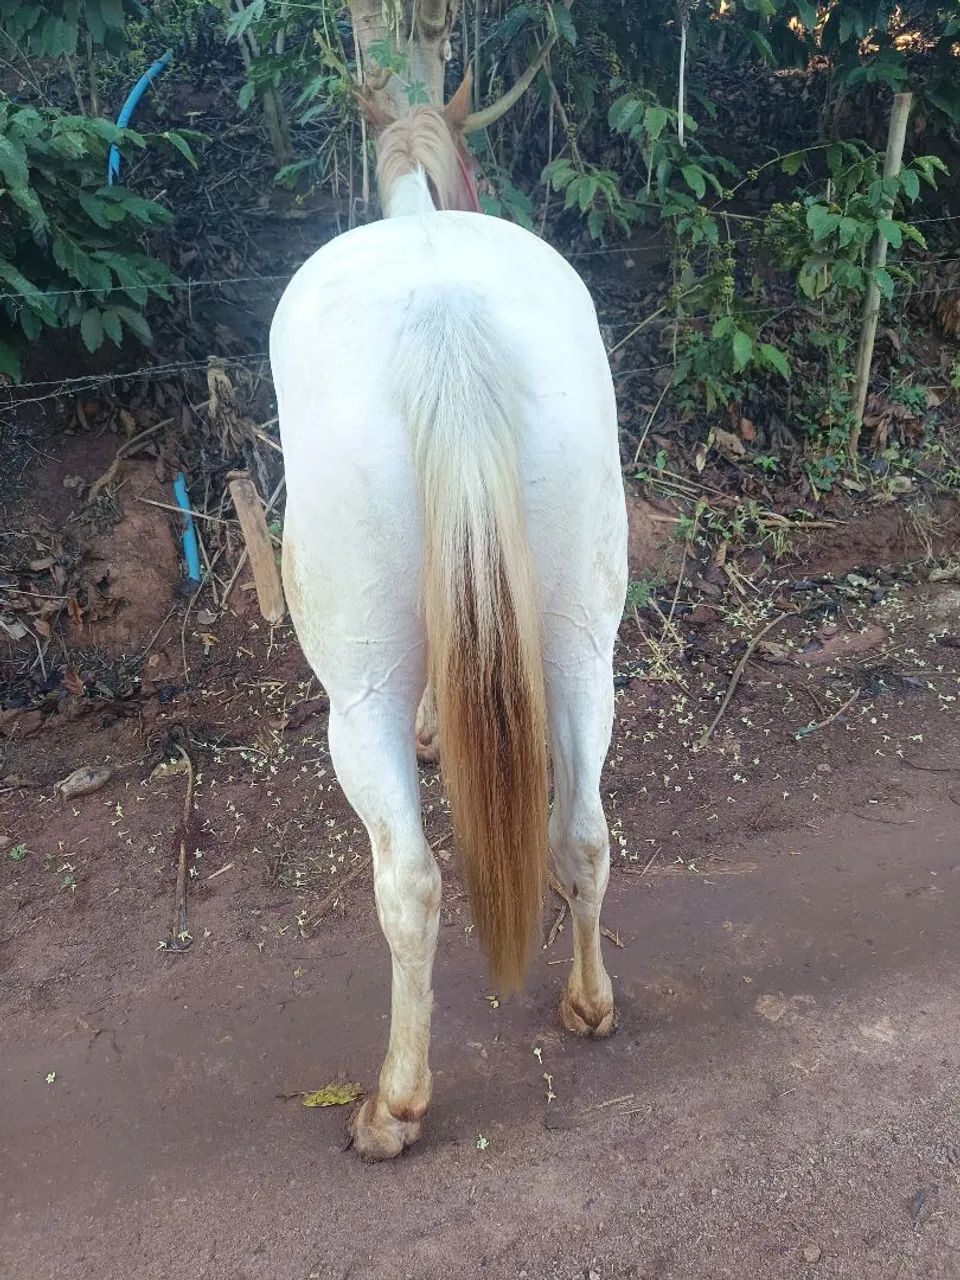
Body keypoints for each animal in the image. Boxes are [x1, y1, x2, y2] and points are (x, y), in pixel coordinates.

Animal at [269, 74, 628, 1160]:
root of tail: (446, 329)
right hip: (583, 641)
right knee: (584, 830)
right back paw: (589, 1002)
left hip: (356, 695)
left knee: (412, 886)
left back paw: (396, 1102)